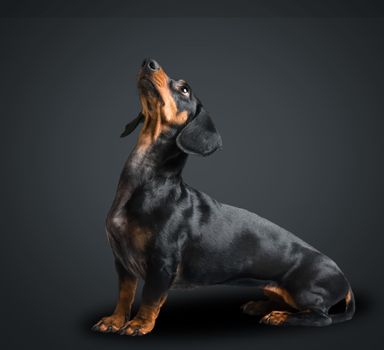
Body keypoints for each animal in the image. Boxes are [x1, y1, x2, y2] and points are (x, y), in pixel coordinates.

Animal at [92, 58, 354, 334]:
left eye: (185, 89)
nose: (148, 63)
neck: (149, 182)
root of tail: (344, 280)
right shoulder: (122, 261)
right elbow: (125, 294)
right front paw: (114, 320)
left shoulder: (162, 263)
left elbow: (151, 298)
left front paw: (139, 324)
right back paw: (261, 306)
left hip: (306, 292)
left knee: (319, 316)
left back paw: (279, 317)